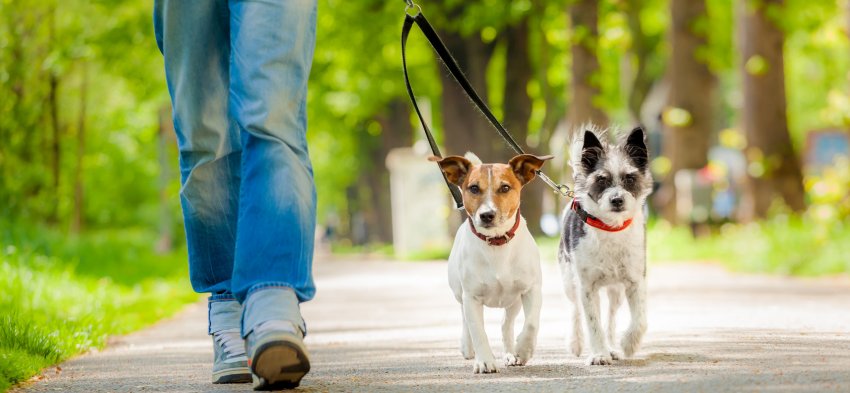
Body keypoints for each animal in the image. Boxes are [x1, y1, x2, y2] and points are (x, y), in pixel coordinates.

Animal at [430, 152, 548, 372]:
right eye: (474, 188)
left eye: (505, 188)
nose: (487, 215)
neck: (496, 243)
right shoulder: (472, 297)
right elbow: (478, 331)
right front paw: (484, 360)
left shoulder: (531, 289)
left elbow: (531, 324)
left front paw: (523, 350)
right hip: (460, 294)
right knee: (465, 320)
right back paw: (468, 347)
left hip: (514, 301)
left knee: (506, 324)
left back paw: (510, 353)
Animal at [556, 125, 648, 364]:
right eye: (601, 180)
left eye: (629, 178)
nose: (617, 200)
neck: (610, 228)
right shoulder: (587, 287)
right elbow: (592, 323)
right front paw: (598, 354)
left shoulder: (635, 282)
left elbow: (640, 320)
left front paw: (628, 344)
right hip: (569, 281)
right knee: (575, 309)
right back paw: (576, 342)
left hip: (616, 291)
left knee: (611, 317)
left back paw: (613, 347)